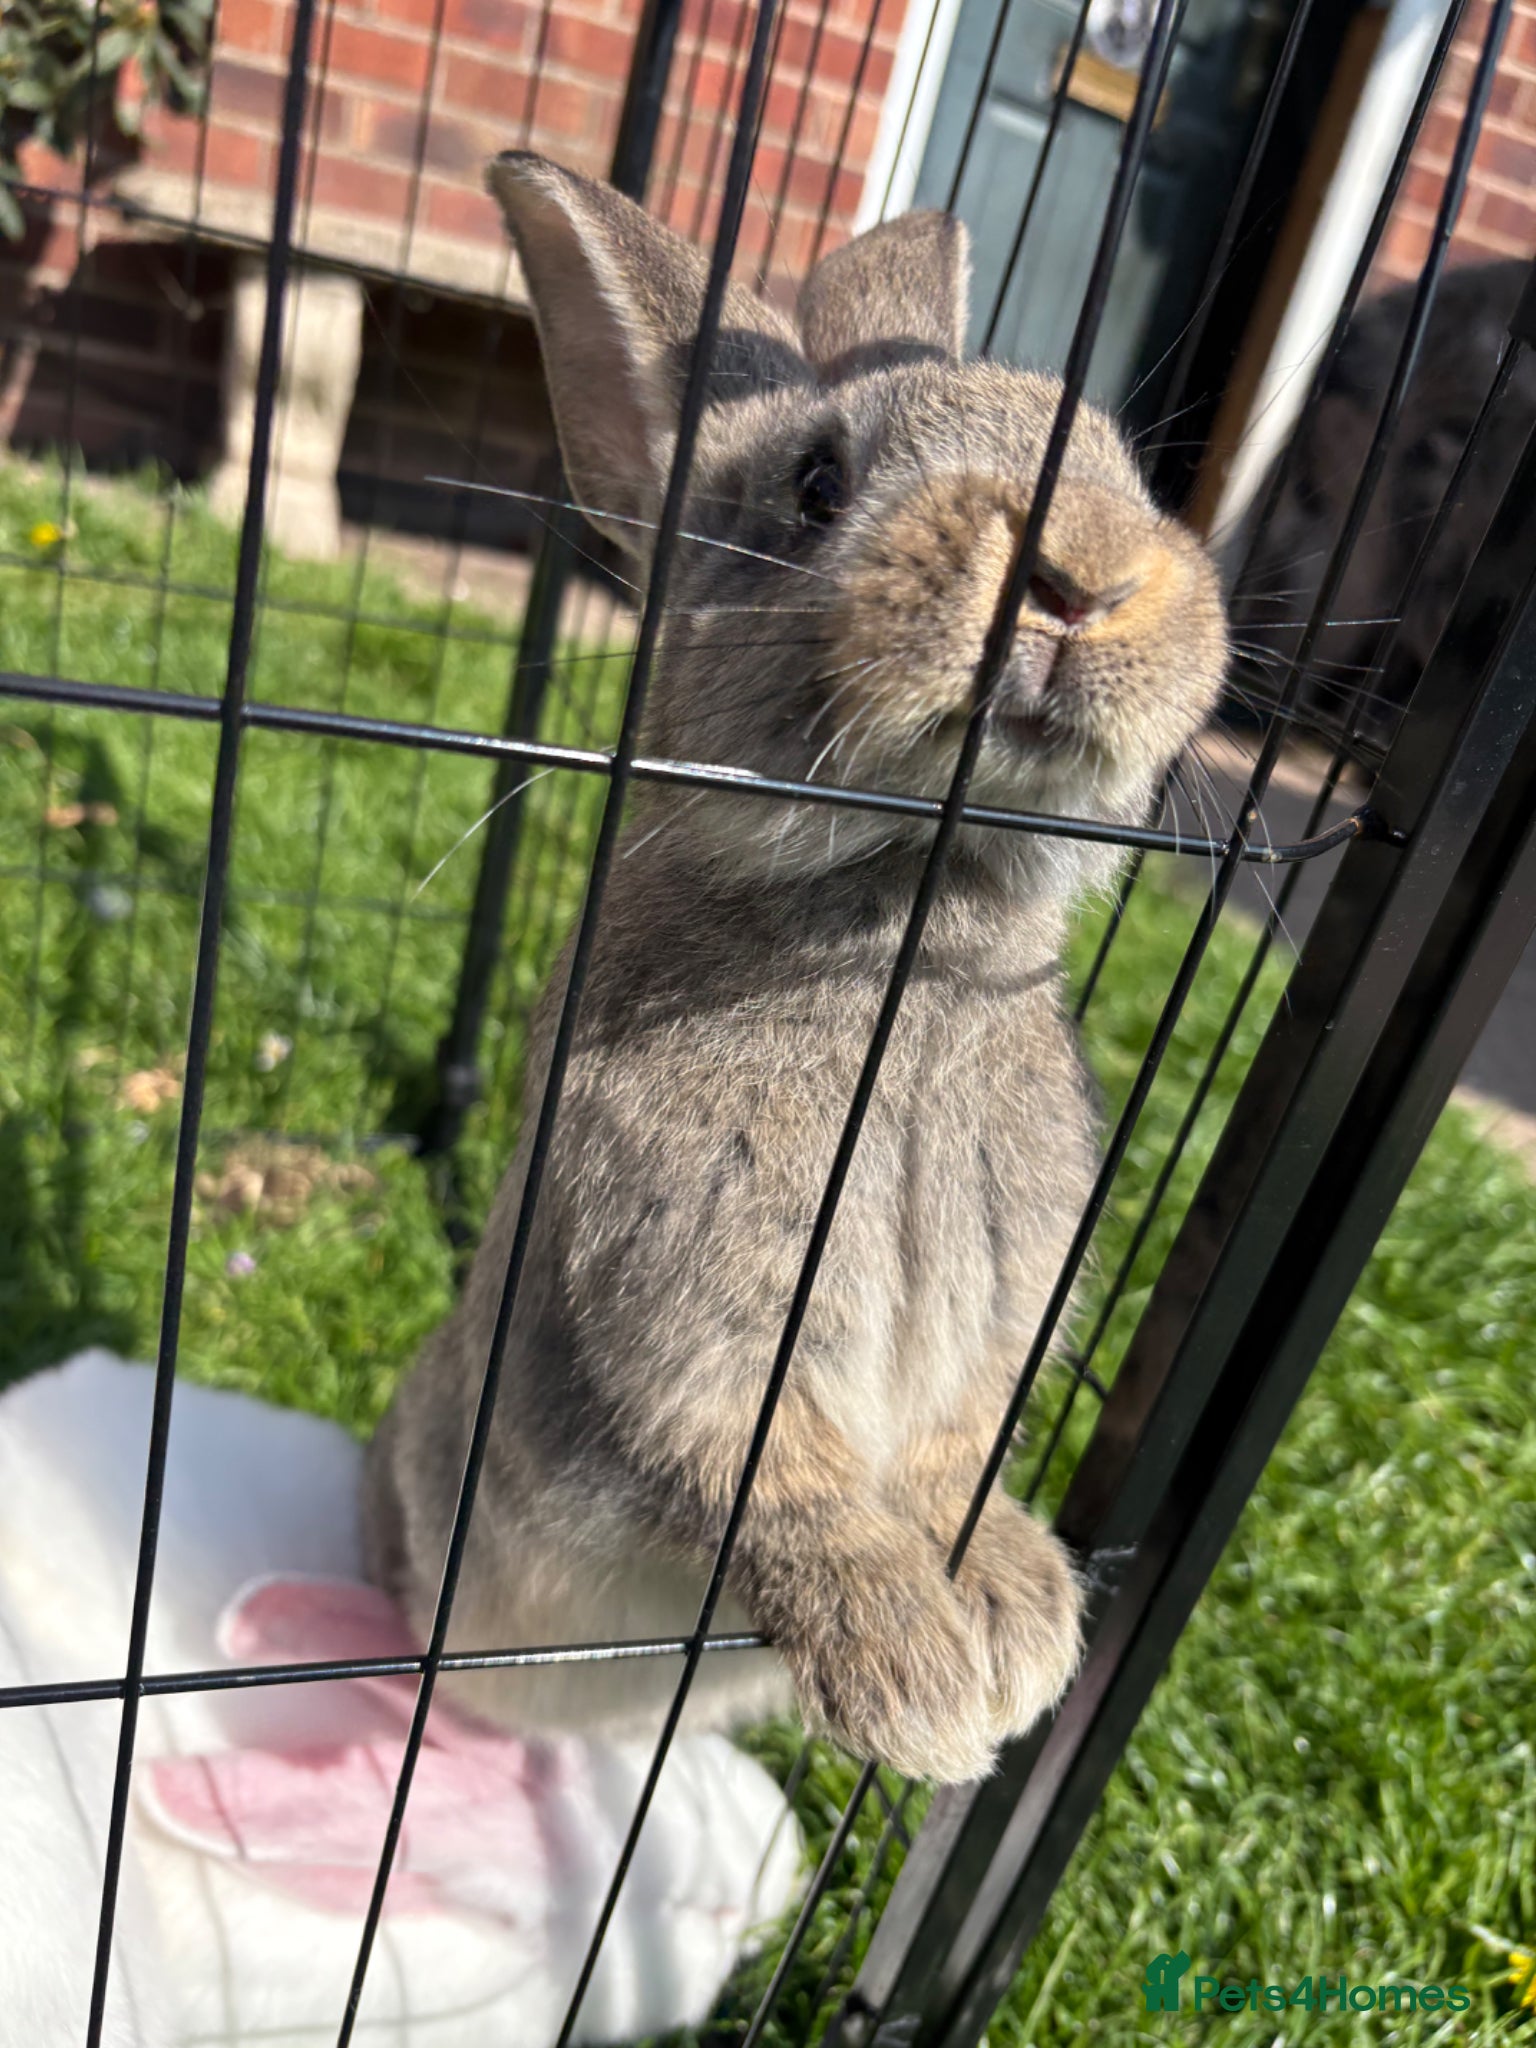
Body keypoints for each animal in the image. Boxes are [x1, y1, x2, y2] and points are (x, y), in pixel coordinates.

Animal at [362, 153, 1231, 1787]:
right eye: (815, 487)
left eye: (1123, 467)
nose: (1082, 577)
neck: (913, 932)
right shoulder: (694, 1306)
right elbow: (775, 1475)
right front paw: (922, 1683)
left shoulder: (1000, 1319)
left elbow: (951, 1459)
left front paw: (1014, 1613)